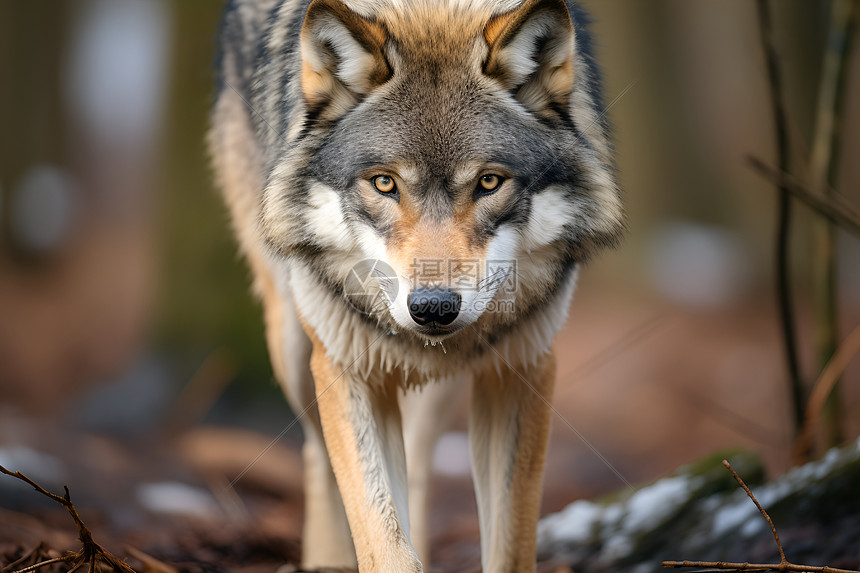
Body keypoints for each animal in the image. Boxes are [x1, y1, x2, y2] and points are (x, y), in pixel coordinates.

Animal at [211, 0, 620, 568]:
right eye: (385, 183)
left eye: (489, 182)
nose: (433, 307)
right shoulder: (347, 368)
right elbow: (383, 541)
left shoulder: (524, 367)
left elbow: (510, 545)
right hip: (294, 347)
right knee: (317, 454)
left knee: (421, 466)